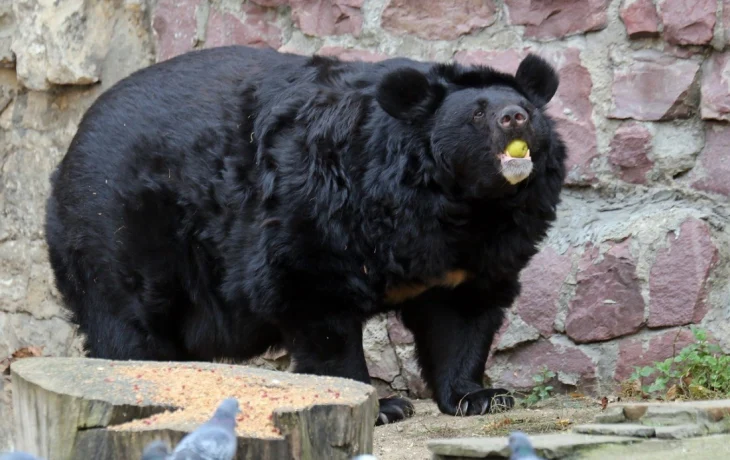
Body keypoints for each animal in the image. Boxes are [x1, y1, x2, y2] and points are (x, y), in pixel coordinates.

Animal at [45, 45, 564, 426]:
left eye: (527, 110)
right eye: (477, 113)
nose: (514, 117)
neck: (461, 205)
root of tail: (69, 150)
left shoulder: (479, 252)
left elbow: (463, 316)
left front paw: (480, 397)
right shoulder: (321, 207)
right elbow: (316, 304)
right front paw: (382, 405)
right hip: (119, 230)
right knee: (127, 324)